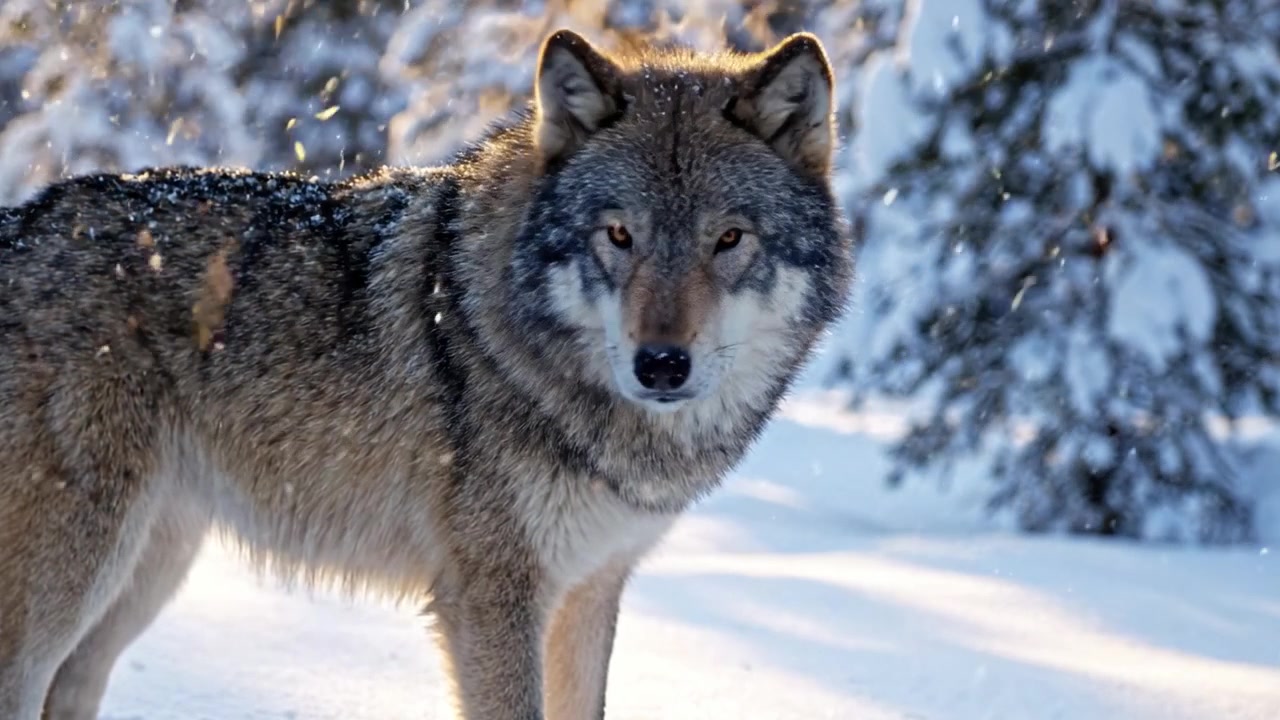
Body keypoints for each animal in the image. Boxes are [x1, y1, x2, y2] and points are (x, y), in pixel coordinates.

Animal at [0, 26, 853, 720]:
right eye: (618, 235)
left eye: (729, 239)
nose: (663, 365)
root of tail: (19, 223)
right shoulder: (491, 599)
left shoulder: (590, 589)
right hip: (77, 576)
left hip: (146, 569)